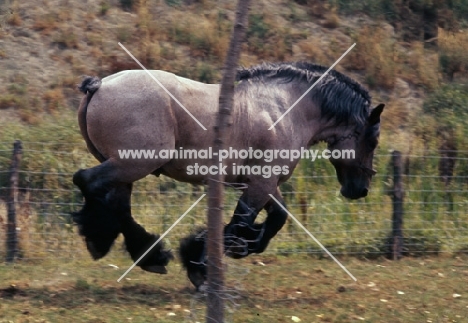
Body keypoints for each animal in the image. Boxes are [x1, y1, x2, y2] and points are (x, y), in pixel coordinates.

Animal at [72, 62, 384, 290]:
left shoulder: (263, 183)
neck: (284, 109)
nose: (361, 190)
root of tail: (99, 86)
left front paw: (236, 246)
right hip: (134, 164)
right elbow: (240, 221)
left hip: (124, 169)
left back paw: (130, 249)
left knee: (113, 203)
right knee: (87, 181)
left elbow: (276, 218)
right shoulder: (261, 183)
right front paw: (202, 265)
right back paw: (139, 251)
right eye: (372, 141)